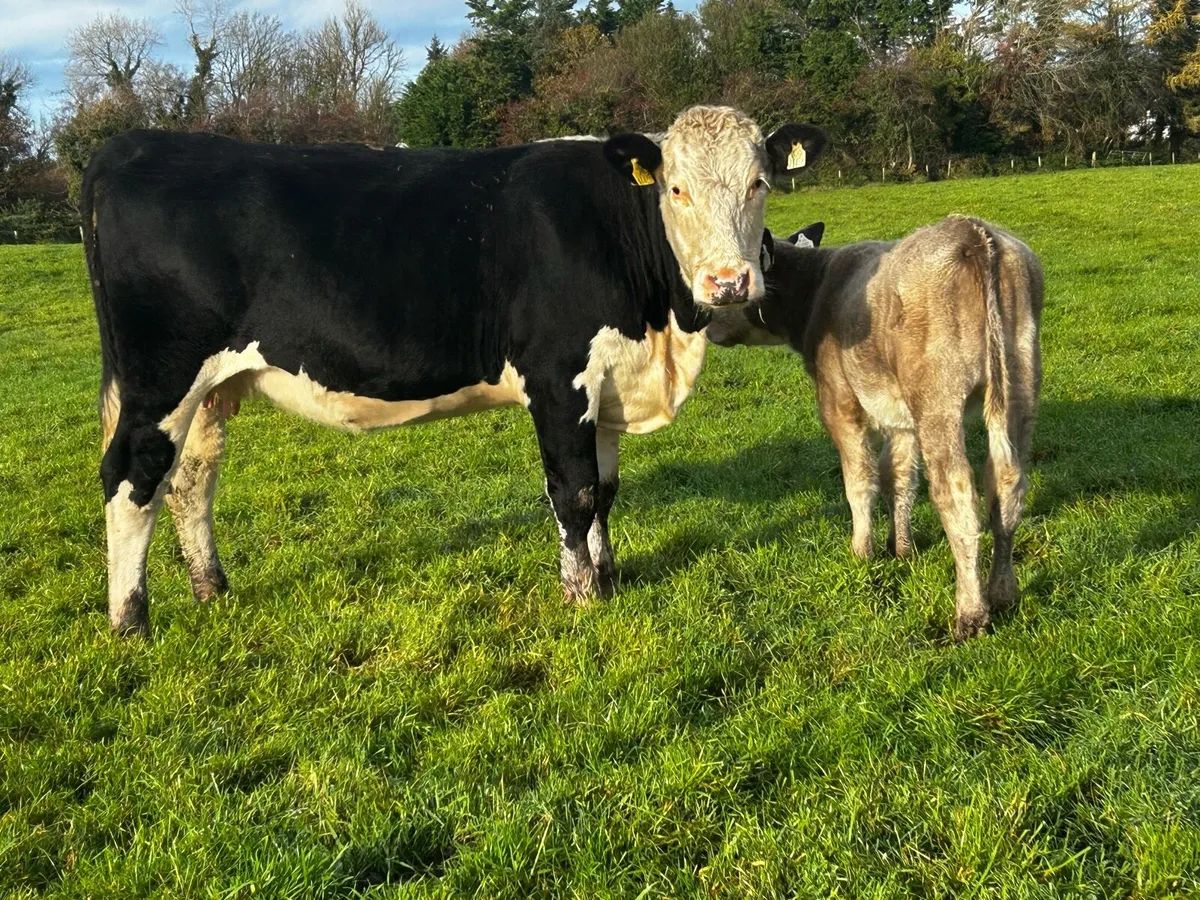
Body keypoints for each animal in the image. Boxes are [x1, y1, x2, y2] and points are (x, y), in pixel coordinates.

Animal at [83, 105, 828, 636]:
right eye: (675, 189)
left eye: (760, 183)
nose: (728, 283)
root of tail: (135, 144)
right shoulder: (558, 379)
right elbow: (574, 492)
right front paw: (582, 596)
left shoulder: (608, 379)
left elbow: (606, 490)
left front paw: (610, 574)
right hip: (161, 375)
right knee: (132, 477)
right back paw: (131, 621)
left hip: (210, 388)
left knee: (190, 481)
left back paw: (211, 589)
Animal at [710, 216, 1043, 641]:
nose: (705, 324)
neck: (817, 289)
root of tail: (971, 231)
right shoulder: (901, 419)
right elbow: (897, 476)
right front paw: (901, 549)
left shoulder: (839, 403)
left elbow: (859, 481)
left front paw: (862, 551)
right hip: (1020, 383)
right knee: (1006, 488)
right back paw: (1003, 593)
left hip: (938, 399)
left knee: (957, 497)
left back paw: (970, 612)